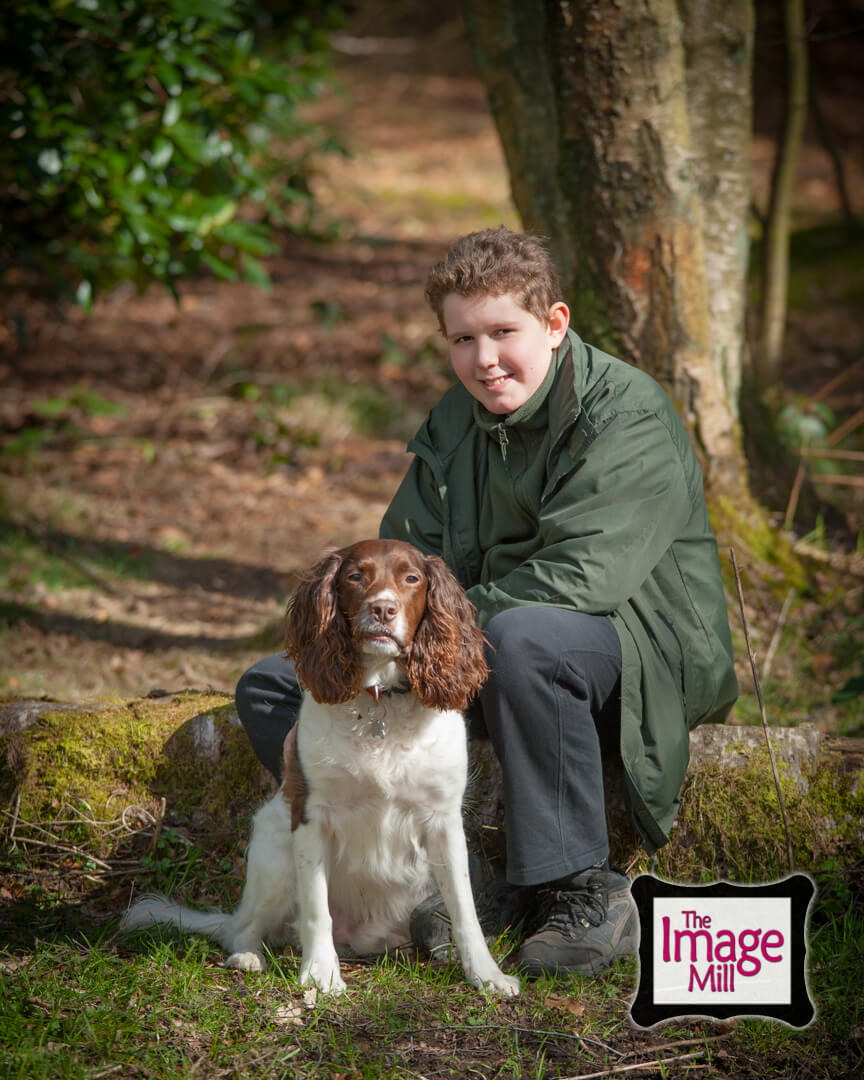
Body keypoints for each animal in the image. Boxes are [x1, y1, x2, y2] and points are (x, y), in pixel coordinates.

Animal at [121, 537, 520, 993]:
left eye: (411, 578)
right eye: (356, 576)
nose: (383, 609)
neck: (379, 702)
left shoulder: (444, 822)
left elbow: (464, 909)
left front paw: (487, 975)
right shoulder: (311, 816)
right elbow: (316, 907)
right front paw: (320, 973)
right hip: (274, 852)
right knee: (242, 929)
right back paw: (248, 957)